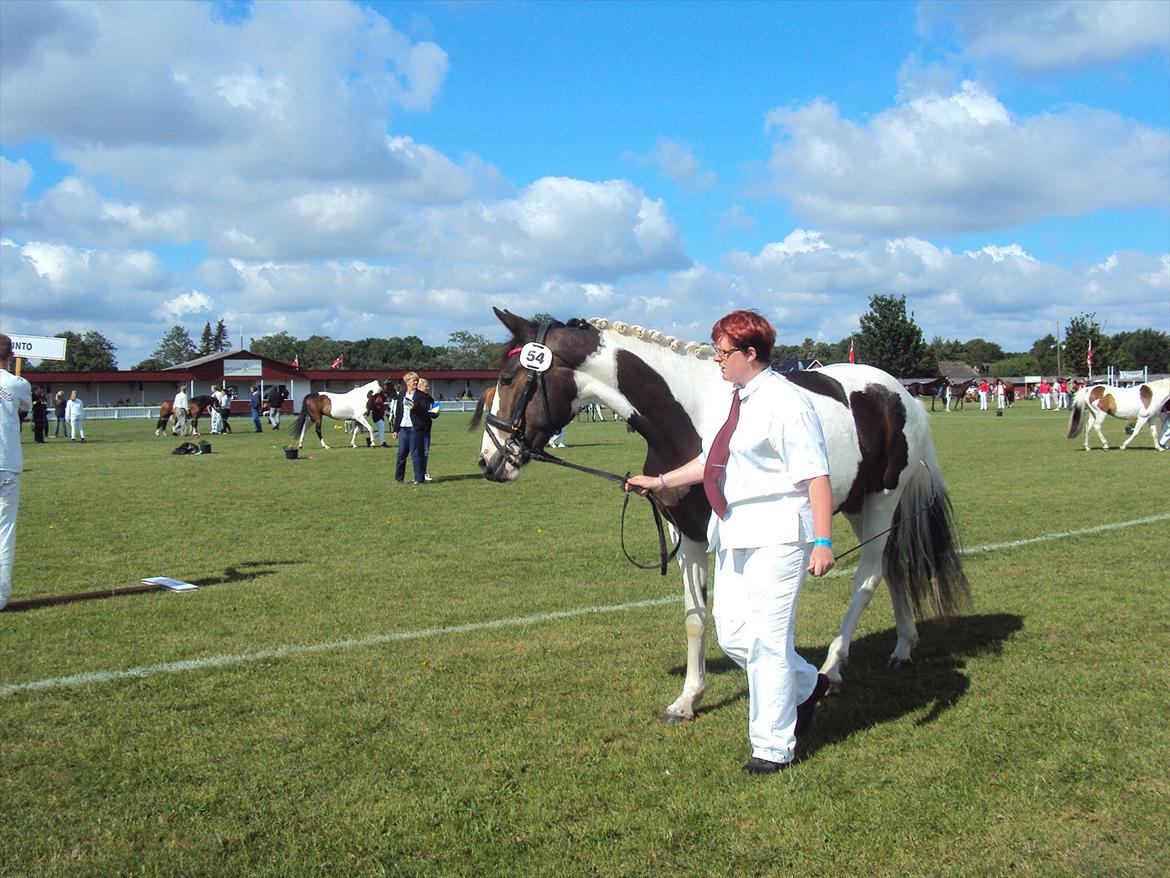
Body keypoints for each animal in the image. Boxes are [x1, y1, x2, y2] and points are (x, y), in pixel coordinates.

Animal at [475, 313, 968, 725]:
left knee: (867, 578)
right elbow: (695, 617)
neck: (690, 419)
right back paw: (903, 648)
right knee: (893, 567)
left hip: (884, 499)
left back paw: (832, 668)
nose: (489, 461)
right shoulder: (688, 536)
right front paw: (688, 700)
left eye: (508, 378)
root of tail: (899, 393)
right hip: (856, 505)